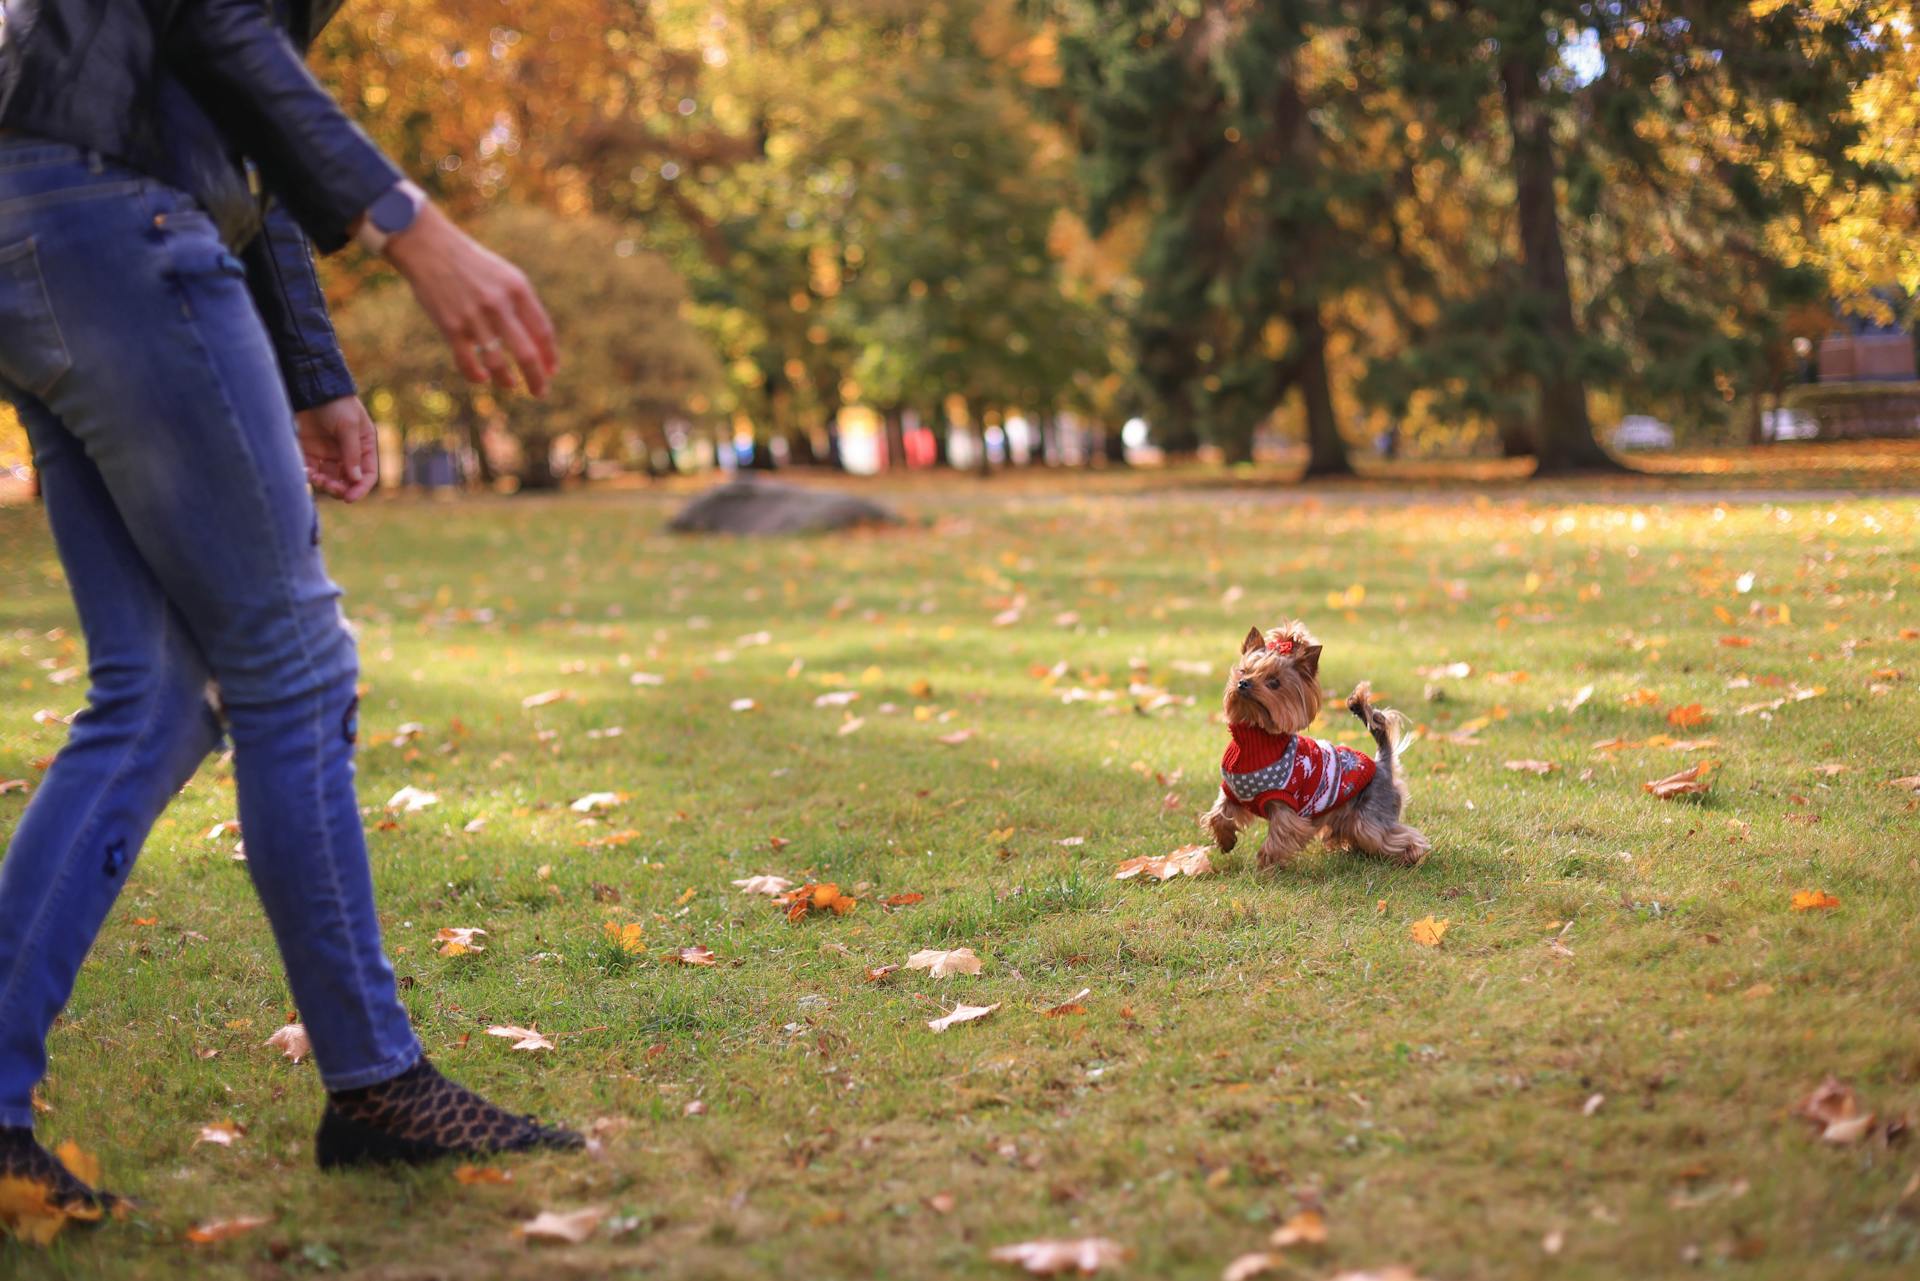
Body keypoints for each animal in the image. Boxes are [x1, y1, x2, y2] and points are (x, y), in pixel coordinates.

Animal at [1198, 622, 1428, 871]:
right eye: (1244, 671)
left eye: (1274, 682)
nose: (1243, 683)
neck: (1254, 740)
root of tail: (1382, 764)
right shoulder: (1234, 793)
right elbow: (1218, 815)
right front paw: (1226, 841)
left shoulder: (1285, 806)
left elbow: (1280, 836)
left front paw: (1265, 866)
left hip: (1371, 815)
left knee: (1391, 835)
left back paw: (1411, 855)